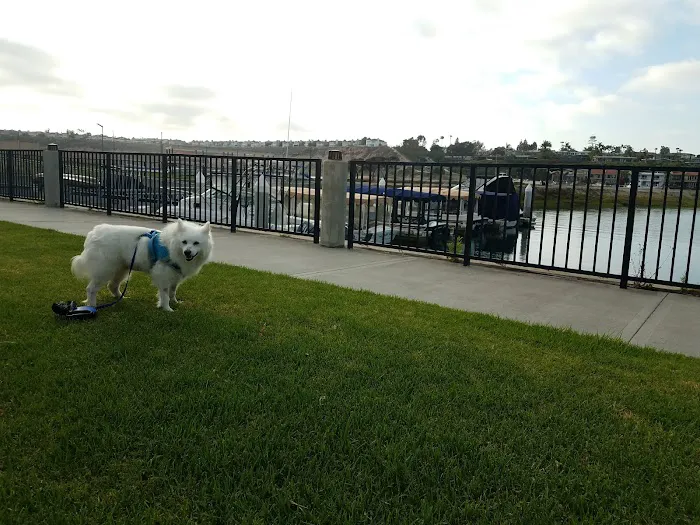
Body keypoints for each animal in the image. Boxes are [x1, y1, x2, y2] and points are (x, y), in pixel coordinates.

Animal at [71, 218, 215, 312]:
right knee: (91, 289)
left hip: (121, 269)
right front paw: (167, 308)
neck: (172, 247)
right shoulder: (163, 275)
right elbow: (165, 294)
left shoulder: (174, 275)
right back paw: (92, 306)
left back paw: (121, 298)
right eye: (184, 242)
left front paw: (175, 302)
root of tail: (93, 234)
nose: (187, 252)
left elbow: (173, 291)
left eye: (196, 243)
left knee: (112, 286)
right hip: (105, 270)